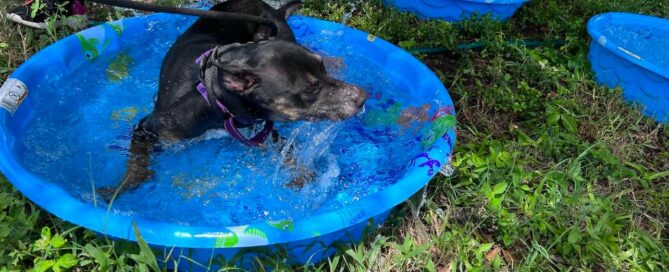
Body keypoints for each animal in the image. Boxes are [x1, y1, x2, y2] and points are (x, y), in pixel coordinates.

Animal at [98, 0, 366, 200]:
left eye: (322, 70)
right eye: (311, 88)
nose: (363, 97)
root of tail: (275, 12)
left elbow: (286, 152)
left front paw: (303, 175)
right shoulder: (149, 128)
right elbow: (136, 164)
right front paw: (124, 186)